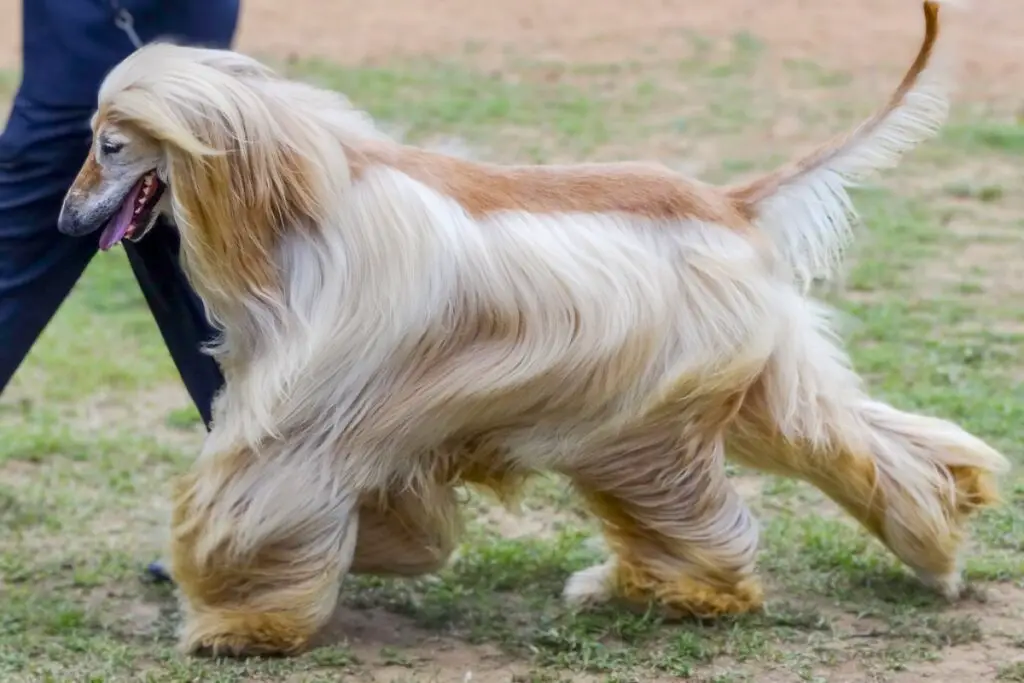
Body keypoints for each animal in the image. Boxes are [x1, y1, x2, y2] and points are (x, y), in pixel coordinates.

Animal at [56, 2, 1007, 659]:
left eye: (109, 144)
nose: (66, 220)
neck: (296, 204)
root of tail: (730, 203)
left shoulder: (317, 404)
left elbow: (258, 484)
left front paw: (236, 619)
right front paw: (388, 545)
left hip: (650, 412)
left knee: (700, 505)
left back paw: (681, 591)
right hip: (729, 386)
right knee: (851, 439)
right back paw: (940, 526)